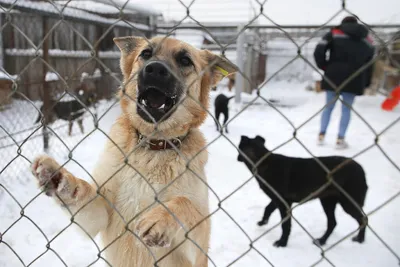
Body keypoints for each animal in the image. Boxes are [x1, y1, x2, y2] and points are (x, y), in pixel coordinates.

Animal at [31, 37, 239, 267]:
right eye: (146, 54)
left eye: (185, 60)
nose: (155, 69)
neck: (153, 145)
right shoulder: (101, 213)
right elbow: (83, 191)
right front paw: (61, 179)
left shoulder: (198, 244)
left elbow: (184, 203)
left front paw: (161, 218)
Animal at [238, 136, 368, 249]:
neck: (263, 161)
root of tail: (361, 170)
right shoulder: (278, 200)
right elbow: (268, 208)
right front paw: (263, 221)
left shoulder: (284, 204)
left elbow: (286, 225)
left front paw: (282, 243)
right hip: (328, 201)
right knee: (333, 223)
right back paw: (322, 241)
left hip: (347, 203)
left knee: (363, 219)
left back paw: (360, 239)